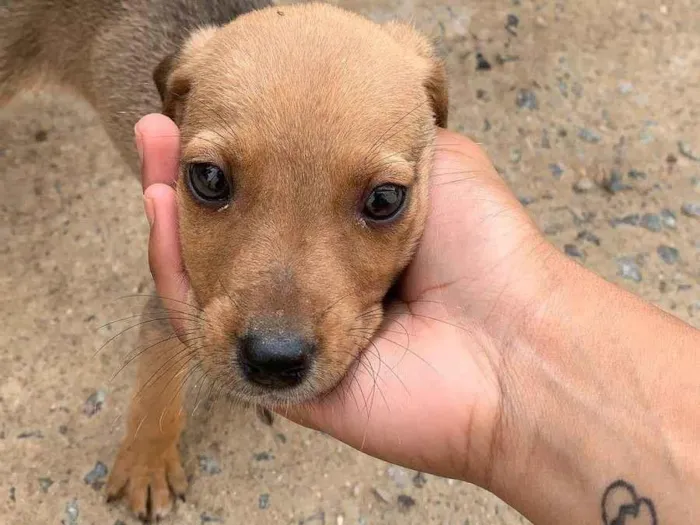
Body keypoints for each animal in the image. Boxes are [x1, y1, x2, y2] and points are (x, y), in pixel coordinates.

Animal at [0, 0, 448, 516]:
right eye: (210, 179)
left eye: (384, 200)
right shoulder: (167, 311)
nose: (273, 361)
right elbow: (155, 395)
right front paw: (146, 465)